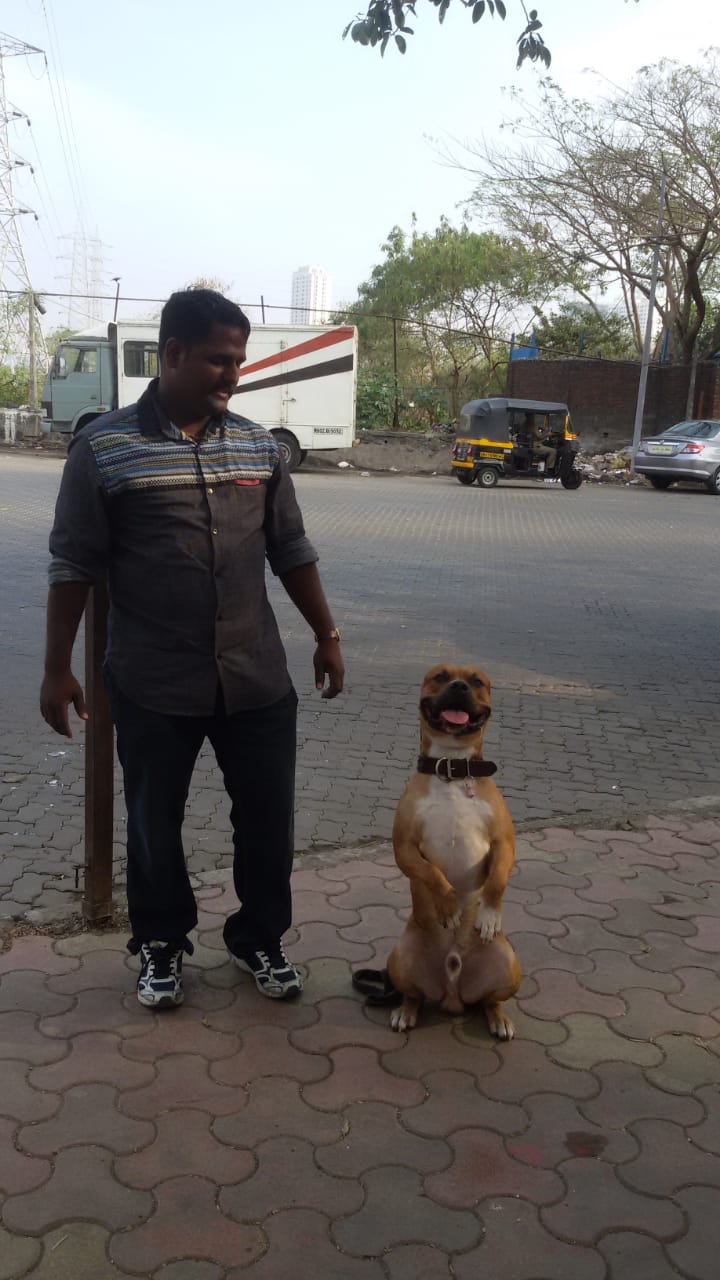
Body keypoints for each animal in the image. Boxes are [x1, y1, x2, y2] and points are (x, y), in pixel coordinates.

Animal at [386, 663, 521, 1037]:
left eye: (477, 682)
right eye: (439, 677)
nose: (459, 686)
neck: (451, 768)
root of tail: (452, 990)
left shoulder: (504, 845)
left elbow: (496, 882)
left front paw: (489, 915)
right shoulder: (404, 848)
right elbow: (431, 872)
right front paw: (448, 907)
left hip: (509, 965)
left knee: (490, 1000)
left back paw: (499, 1019)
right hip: (398, 959)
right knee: (413, 995)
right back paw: (405, 1012)